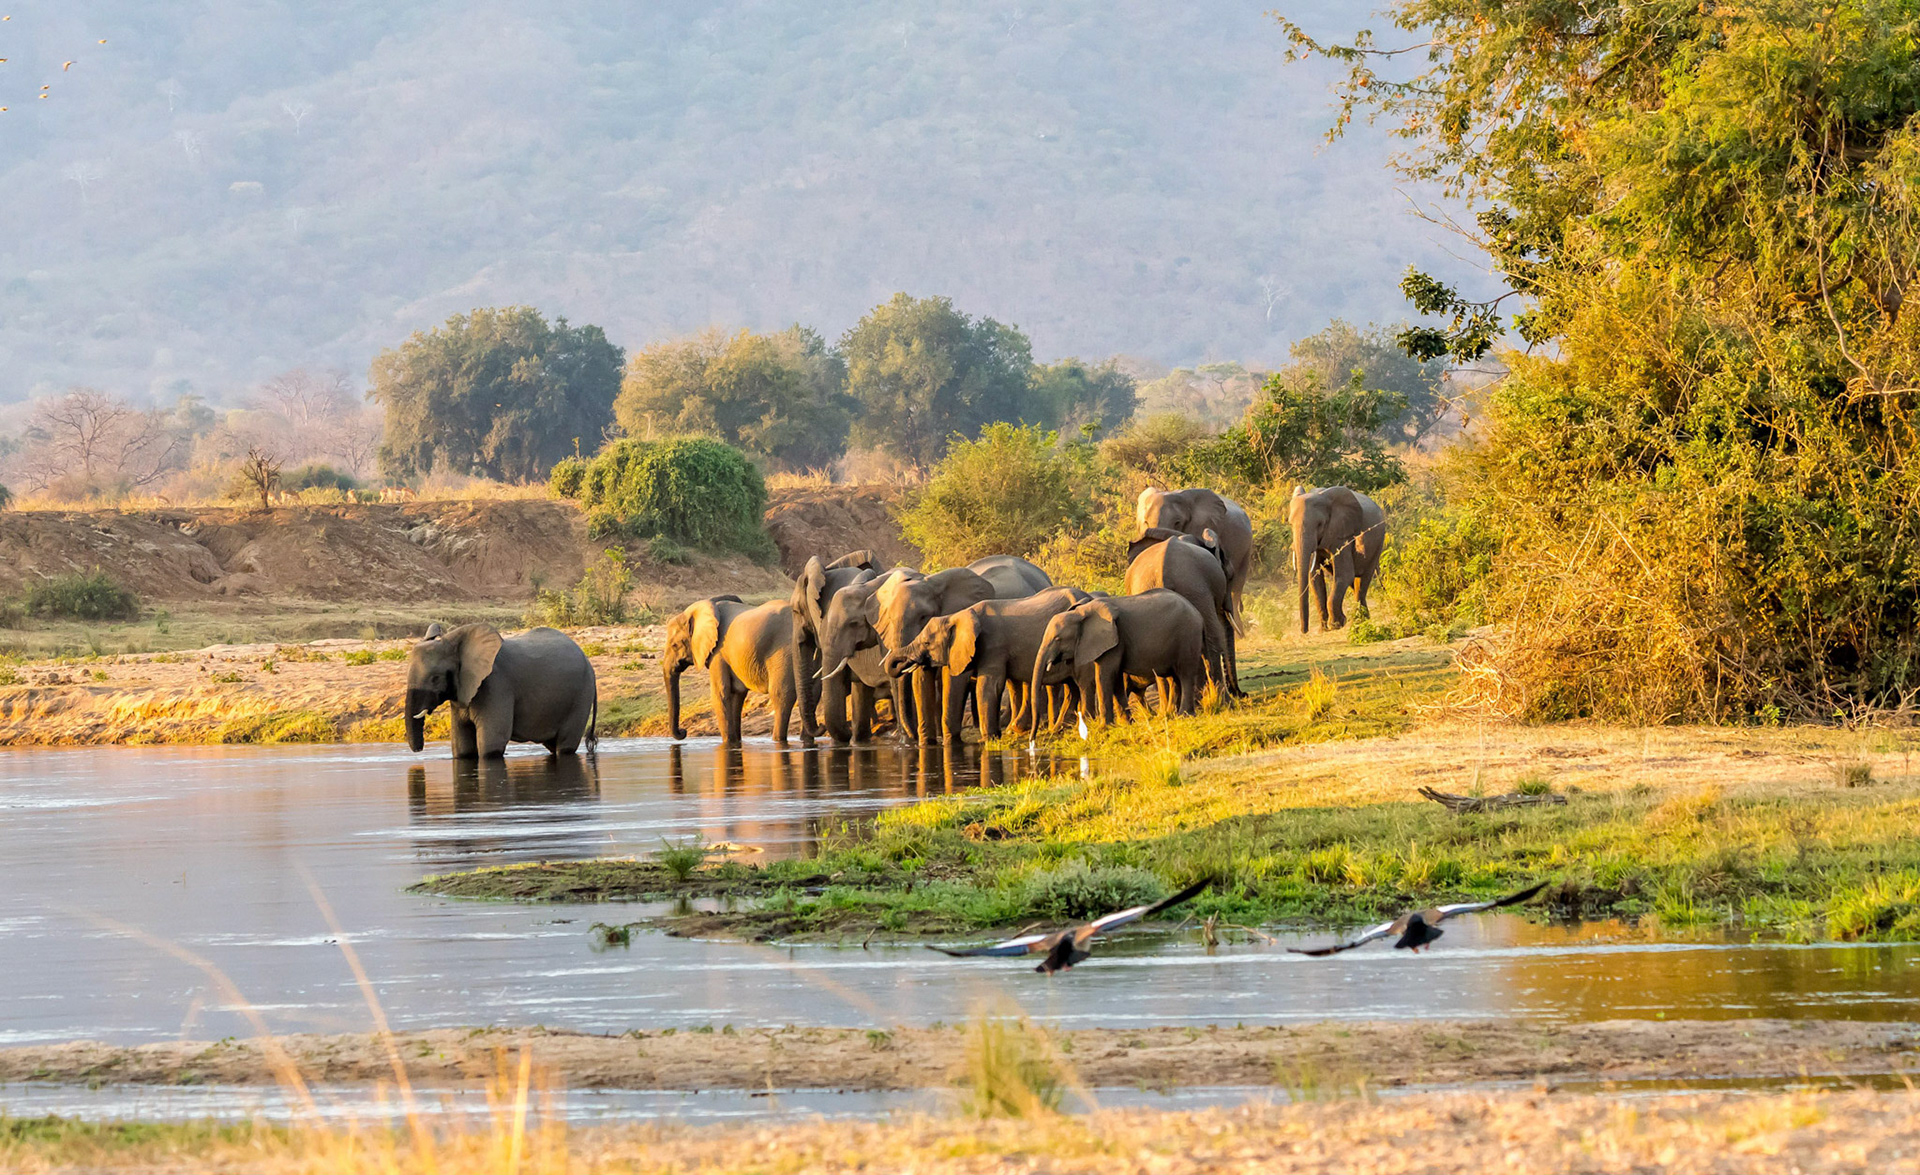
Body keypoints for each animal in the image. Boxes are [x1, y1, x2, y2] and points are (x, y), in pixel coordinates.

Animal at [404, 624, 597, 758]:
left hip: (581, 696)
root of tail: (589, 662)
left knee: (565, 746)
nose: (419, 750)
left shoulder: (496, 684)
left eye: (435, 678)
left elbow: (490, 746)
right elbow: (462, 749)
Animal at [664, 595, 801, 745]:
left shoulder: (718, 653)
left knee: (781, 695)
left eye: (674, 645)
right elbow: (736, 694)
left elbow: (720, 694)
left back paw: (778, 740)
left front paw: (728, 743)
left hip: (785, 650)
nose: (683, 732)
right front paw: (735, 743)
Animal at [885, 587, 1091, 742]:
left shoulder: (993, 645)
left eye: (927, 643)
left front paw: (987, 739)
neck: (957, 615)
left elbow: (988, 685)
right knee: (1069, 685)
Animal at [1031, 590, 1207, 726]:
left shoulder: (1114, 640)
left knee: (1185, 674)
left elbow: (1105, 675)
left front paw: (1104, 728)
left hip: (1187, 636)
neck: (1081, 613)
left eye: (1057, 639)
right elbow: (1114, 678)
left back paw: (1184, 715)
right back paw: (1170, 715)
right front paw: (1126, 723)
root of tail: (1197, 613)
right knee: (1174, 677)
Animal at [1289, 485, 1387, 633]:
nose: (1304, 631)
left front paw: (1337, 625)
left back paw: (1359, 622)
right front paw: (1324, 629)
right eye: (1290, 524)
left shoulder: (1341, 534)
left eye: (1320, 524)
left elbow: (1345, 574)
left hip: (1378, 543)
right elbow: (1315, 578)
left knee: (1363, 580)